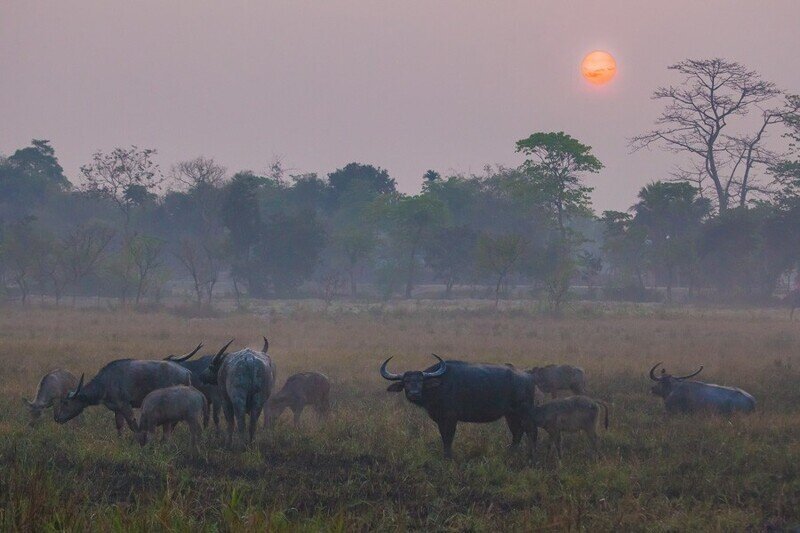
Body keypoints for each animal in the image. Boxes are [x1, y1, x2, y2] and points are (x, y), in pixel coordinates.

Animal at [54, 356, 195, 434]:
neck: (106, 382)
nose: (57, 418)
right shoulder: (117, 409)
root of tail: (186, 372)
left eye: (65, 402)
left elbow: (134, 426)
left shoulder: (126, 406)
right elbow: (119, 426)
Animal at [380, 354, 536, 458]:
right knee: (517, 432)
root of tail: (527, 375)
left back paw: (532, 455)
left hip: (524, 412)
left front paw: (448, 457)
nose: (414, 393)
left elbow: (448, 437)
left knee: (531, 431)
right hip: (511, 414)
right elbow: (443, 436)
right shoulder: (440, 420)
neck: (438, 387)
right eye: (406, 381)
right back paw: (510, 453)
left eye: (421, 381)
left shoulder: (450, 418)